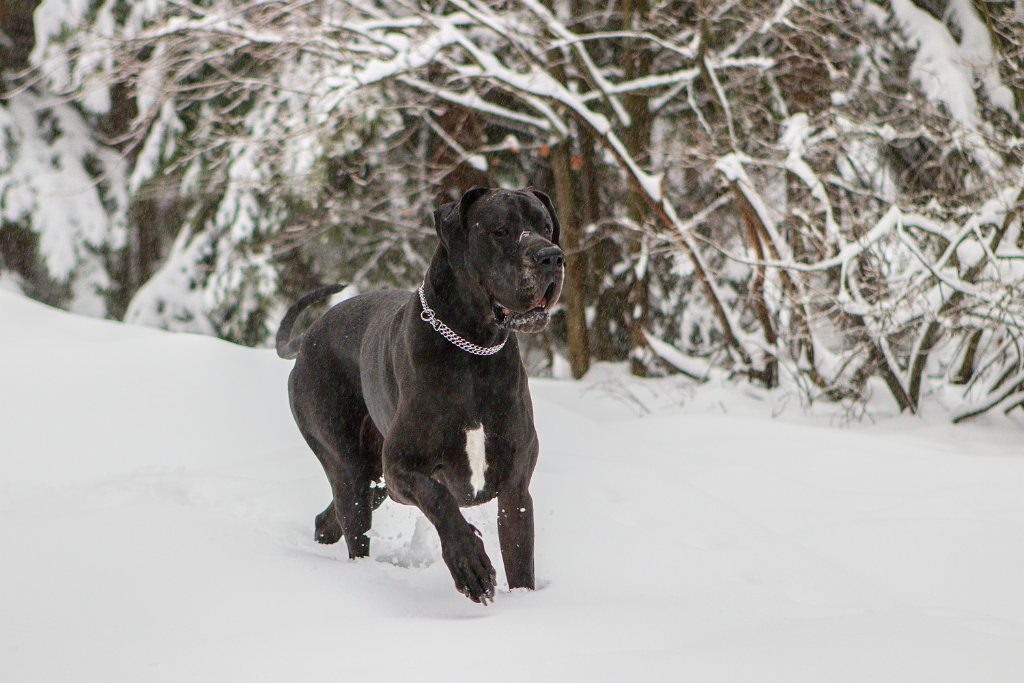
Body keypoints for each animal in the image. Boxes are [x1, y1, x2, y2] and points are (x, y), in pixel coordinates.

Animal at [276, 187, 565, 602]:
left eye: (546, 227)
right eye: (500, 229)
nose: (551, 257)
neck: (475, 352)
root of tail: (307, 338)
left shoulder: (515, 487)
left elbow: (520, 555)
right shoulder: (401, 467)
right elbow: (439, 499)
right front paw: (469, 562)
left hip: (373, 479)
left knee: (328, 520)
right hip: (348, 463)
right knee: (352, 521)